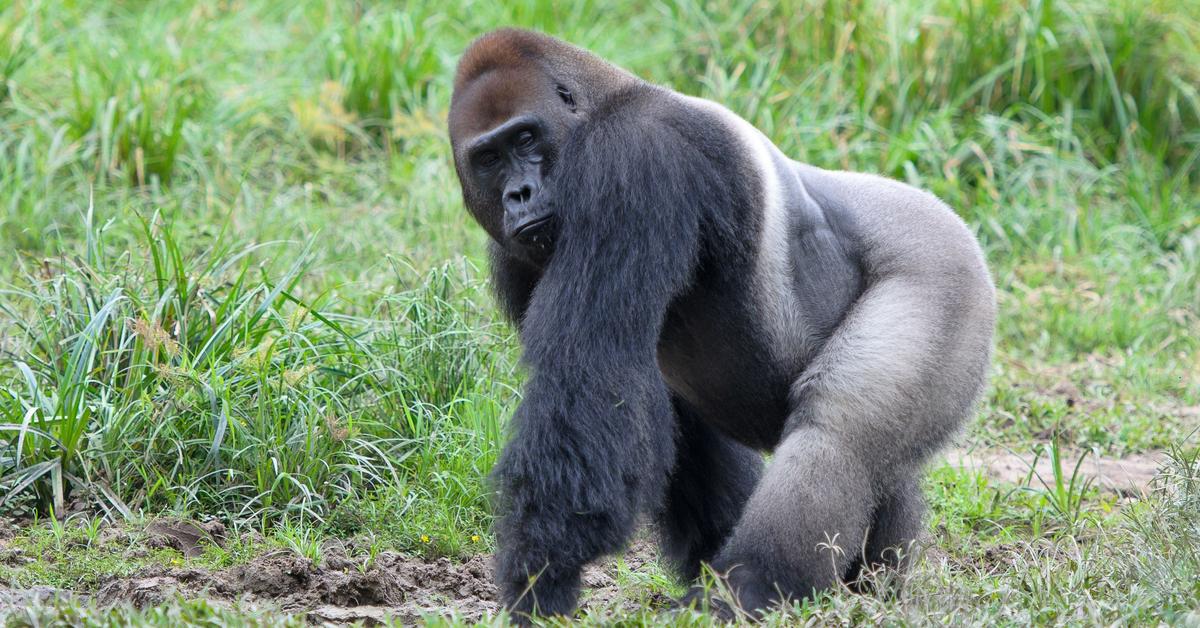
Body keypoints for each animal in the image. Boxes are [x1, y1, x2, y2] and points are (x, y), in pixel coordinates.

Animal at [446, 29, 998, 624]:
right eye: (488, 159)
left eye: (526, 138)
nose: (518, 194)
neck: (606, 98)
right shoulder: (516, 258)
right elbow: (665, 417)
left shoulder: (635, 154)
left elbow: (591, 374)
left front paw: (541, 576)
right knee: (881, 465)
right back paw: (866, 585)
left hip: (942, 268)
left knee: (839, 432)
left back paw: (750, 585)